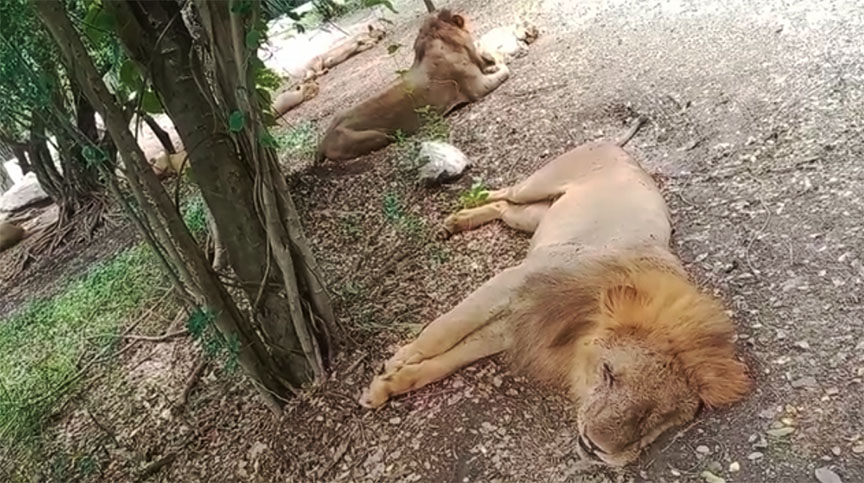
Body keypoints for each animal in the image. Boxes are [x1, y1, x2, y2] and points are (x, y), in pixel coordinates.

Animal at [358, 119, 751, 466]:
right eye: (609, 373)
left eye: (660, 418)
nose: (596, 448)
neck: (580, 317)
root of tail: (616, 146)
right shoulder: (509, 283)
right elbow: (441, 331)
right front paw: (397, 361)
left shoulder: (513, 326)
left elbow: (447, 361)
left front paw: (386, 385)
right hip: (538, 185)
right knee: (504, 191)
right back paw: (458, 212)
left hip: (534, 217)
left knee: (504, 208)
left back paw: (457, 222)